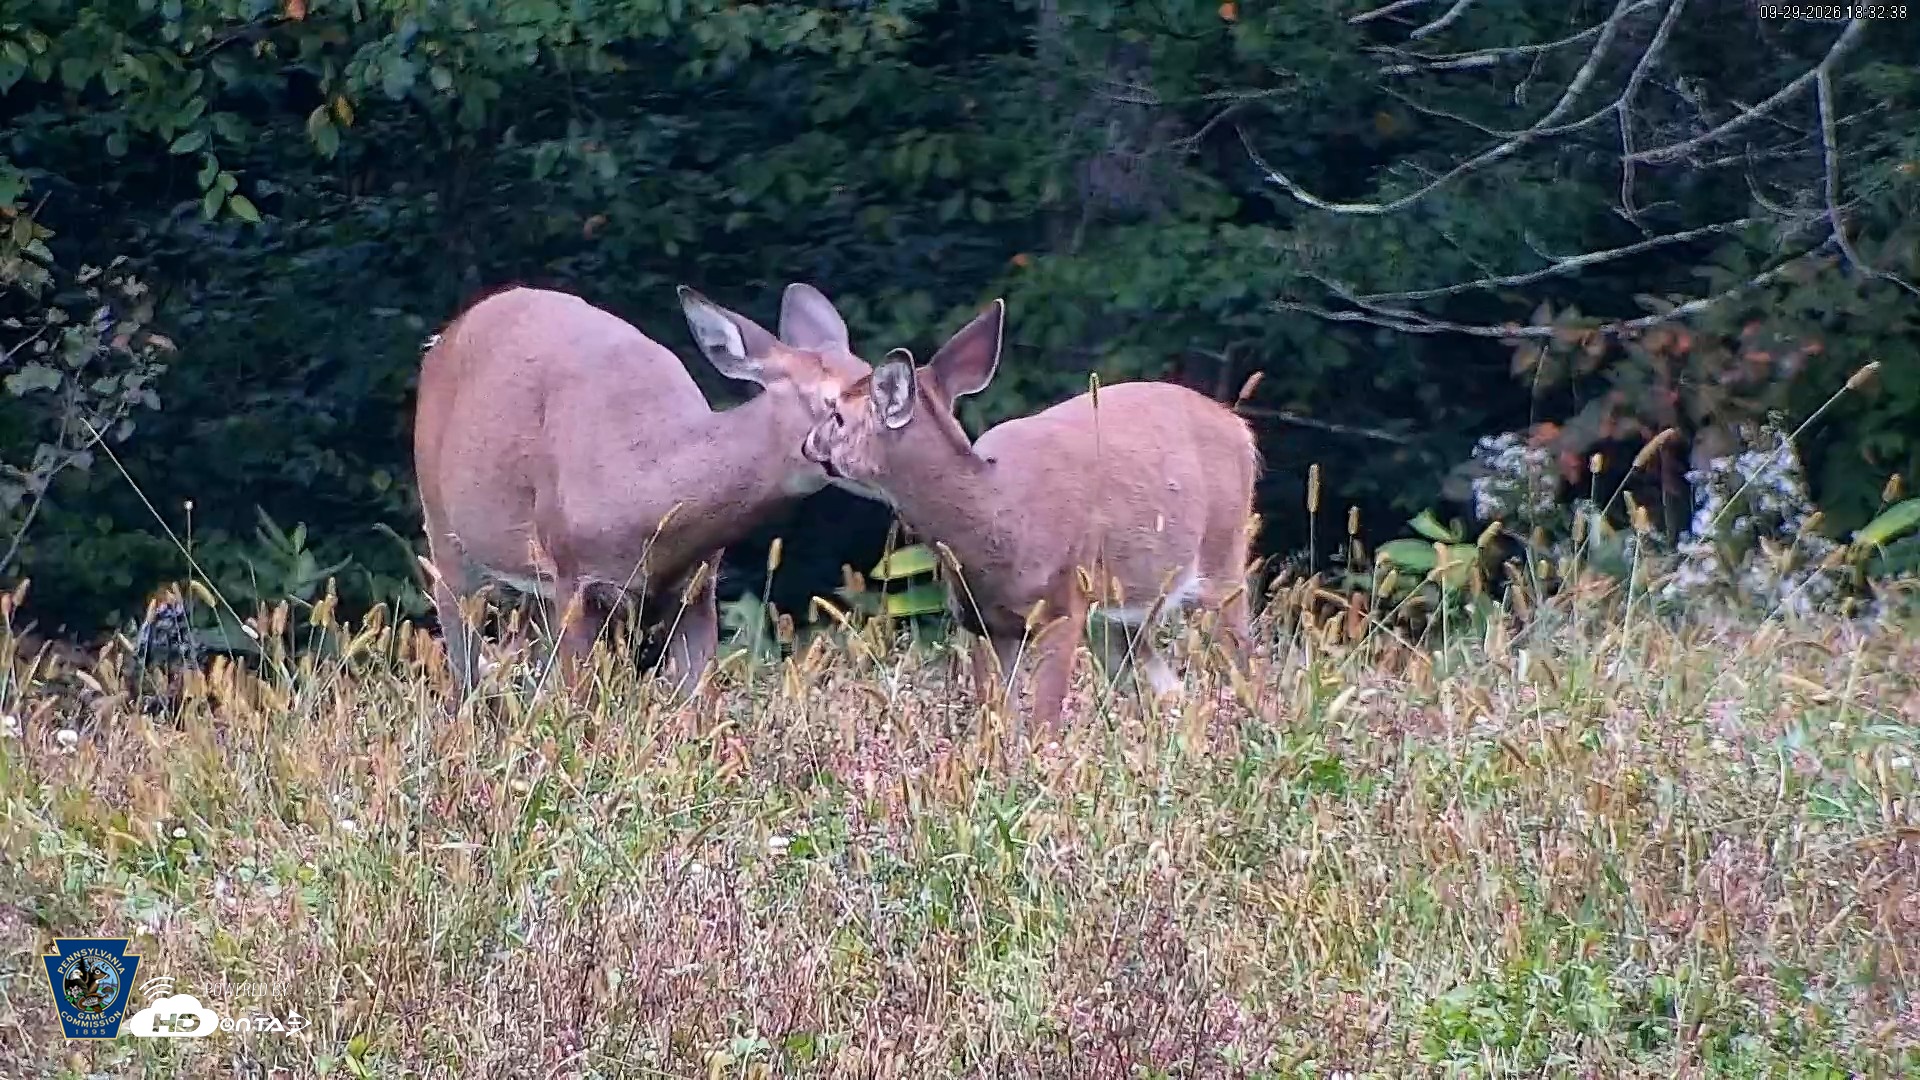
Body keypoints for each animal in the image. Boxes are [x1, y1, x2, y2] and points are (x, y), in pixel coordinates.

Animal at [412, 283, 872, 704]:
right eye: (832, 404)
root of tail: (442, 338)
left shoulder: (699, 582)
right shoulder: (572, 575)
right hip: (442, 525)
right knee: (462, 659)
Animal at [799, 298, 1260, 742]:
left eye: (837, 416)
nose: (807, 444)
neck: (999, 522)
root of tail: (1240, 426)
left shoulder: (1063, 604)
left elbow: (1044, 723)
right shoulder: (981, 623)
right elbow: (996, 721)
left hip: (1223, 559)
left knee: (1246, 666)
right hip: (1124, 613)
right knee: (1173, 692)